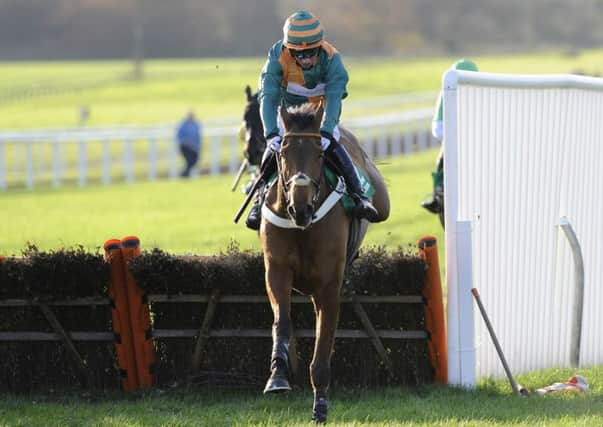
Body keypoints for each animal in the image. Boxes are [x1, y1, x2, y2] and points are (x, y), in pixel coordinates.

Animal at [260, 101, 392, 424]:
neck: (303, 226)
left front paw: (320, 406)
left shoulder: (329, 286)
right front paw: (277, 376)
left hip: (382, 202)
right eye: (282, 152)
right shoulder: (276, 272)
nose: (301, 208)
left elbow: (324, 346)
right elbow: (282, 322)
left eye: (320, 154)